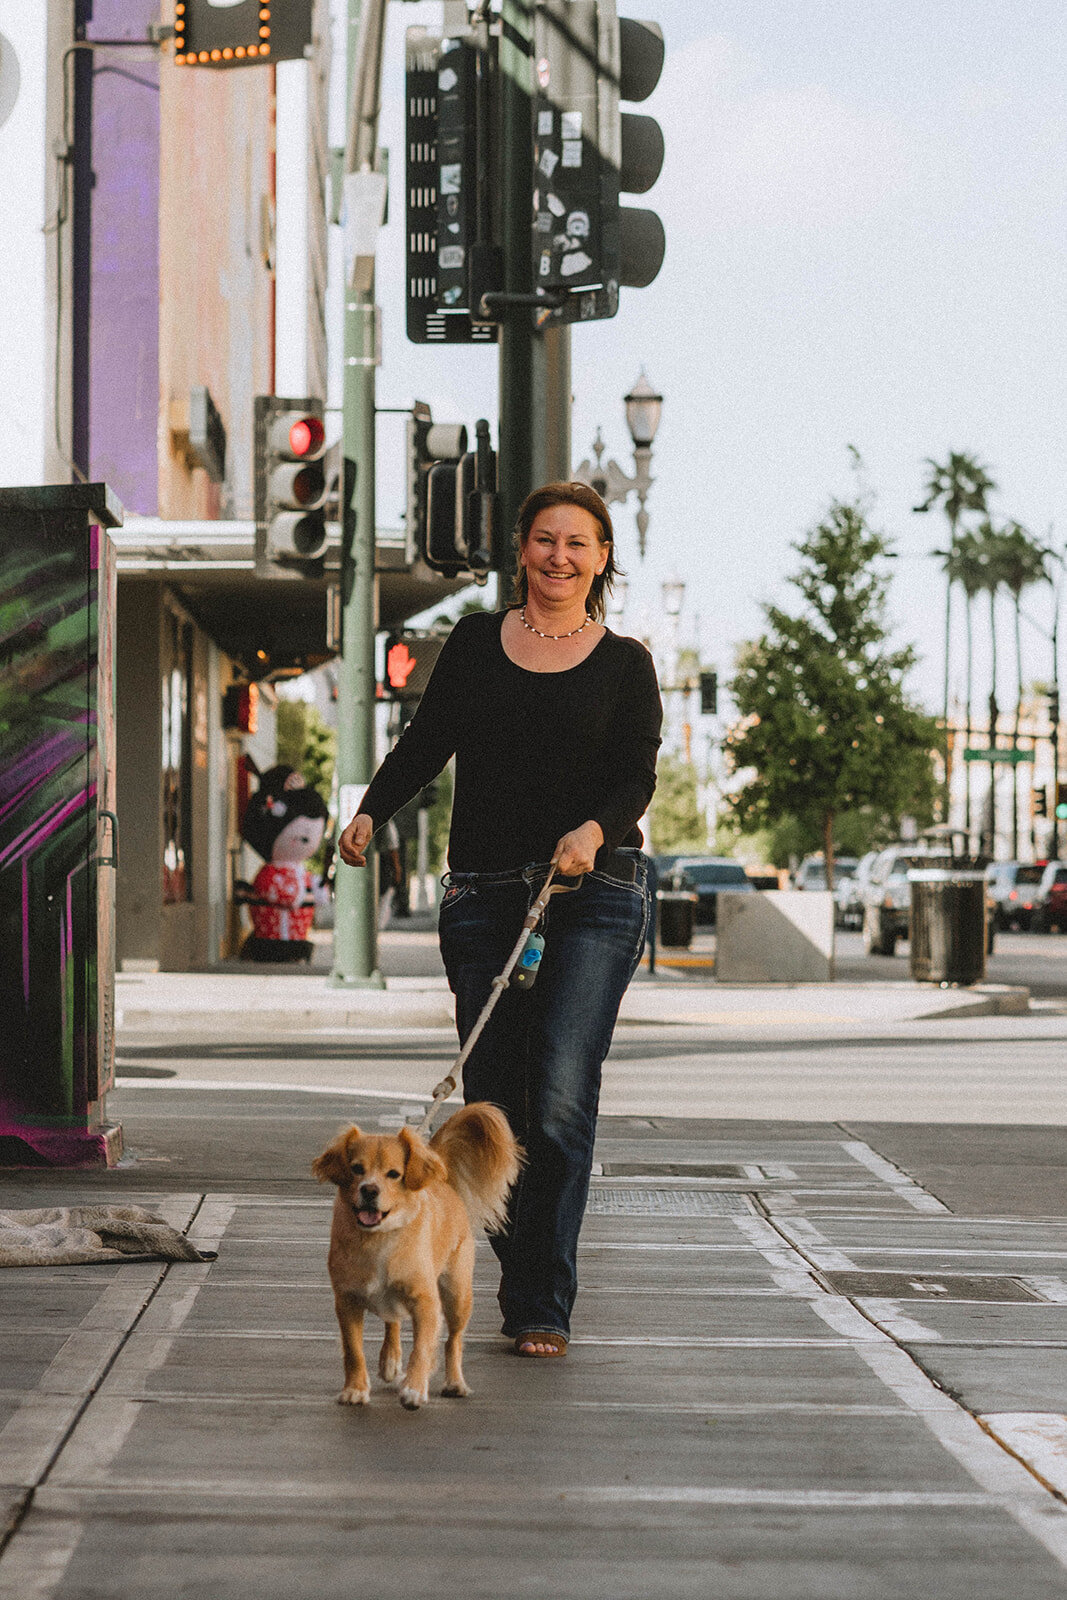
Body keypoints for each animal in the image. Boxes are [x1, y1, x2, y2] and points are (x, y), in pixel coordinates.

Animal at [310, 1107, 518, 1408]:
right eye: (357, 1169)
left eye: (394, 1174)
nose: (369, 1190)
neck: (379, 1237)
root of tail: (443, 1181)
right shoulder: (347, 1302)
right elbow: (353, 1351)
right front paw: (355, 1389)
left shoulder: (426, 1303)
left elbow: (421, 1348)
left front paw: (414, 1388)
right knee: (393, 1320)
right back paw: (390, 1360)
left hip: (457, 1294)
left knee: (453, 1340)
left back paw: (454, 1382)